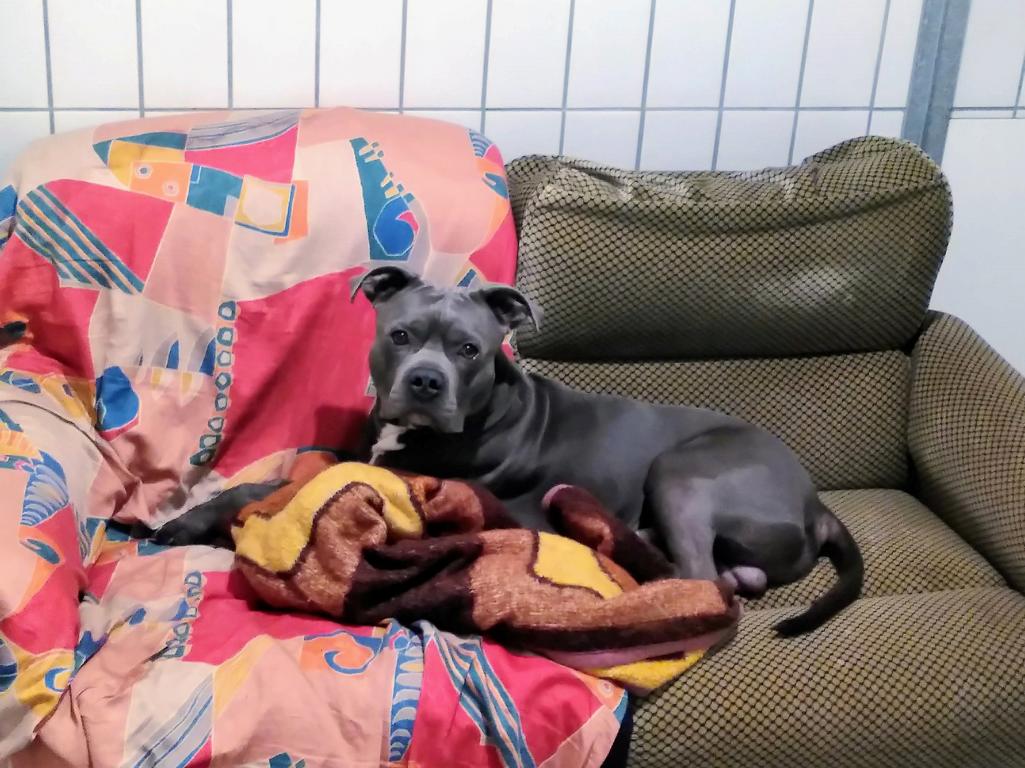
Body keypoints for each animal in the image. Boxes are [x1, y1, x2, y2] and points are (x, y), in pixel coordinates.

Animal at [155, 266, 863, 636]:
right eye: (401, 335)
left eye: (469, 349)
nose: (426, 381)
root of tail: (815, 504)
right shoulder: (361, 452)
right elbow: (281, 477)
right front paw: (186, 521)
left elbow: (287, 487)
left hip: (683, 473)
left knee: (704, 579)